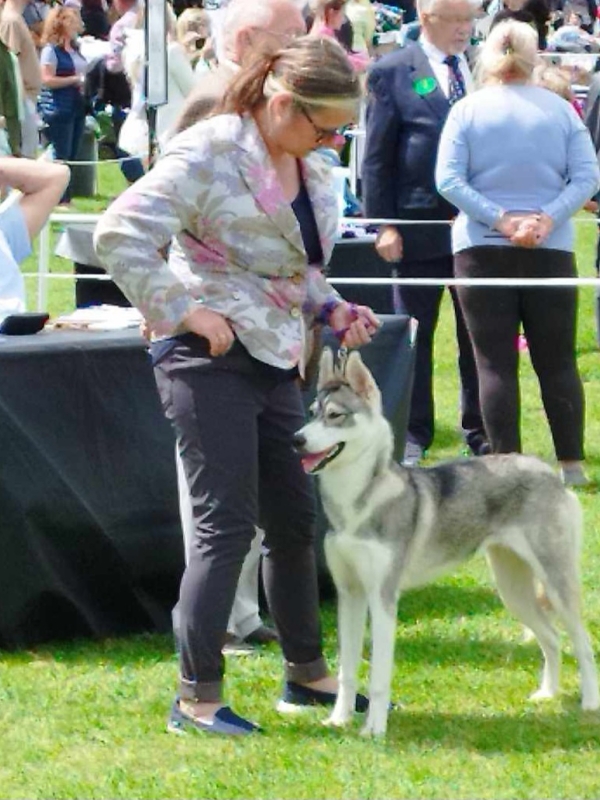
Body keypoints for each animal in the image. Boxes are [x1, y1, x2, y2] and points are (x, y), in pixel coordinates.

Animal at [292, 350, 596, 736]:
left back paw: (590, 704)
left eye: (335, 416)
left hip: (556, 586)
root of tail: (549, 473)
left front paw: (374, 731)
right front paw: (338, 720)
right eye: (311, 413)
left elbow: (378, 678)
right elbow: (347, 671)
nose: (296, 440)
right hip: (513, 592)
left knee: (583, 645)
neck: (355, 505)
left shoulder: (382, 598)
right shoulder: (350, 596)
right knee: (552, 639)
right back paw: (547, 695)